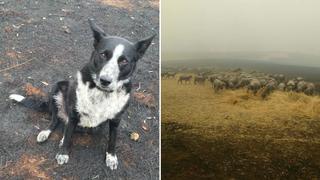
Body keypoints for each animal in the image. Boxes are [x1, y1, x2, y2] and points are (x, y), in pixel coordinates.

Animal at [9, 18, 155, 170]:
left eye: (124, 61)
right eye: (103, 54)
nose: (105, 80)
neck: (101, 92)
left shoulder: (115, 120)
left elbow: (112, 139)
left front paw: (111, 157)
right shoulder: (74, 113)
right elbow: (68, 134)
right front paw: (63, 153)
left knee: (67, 126)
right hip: (57, 88)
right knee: (56, 120)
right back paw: (47, 132)